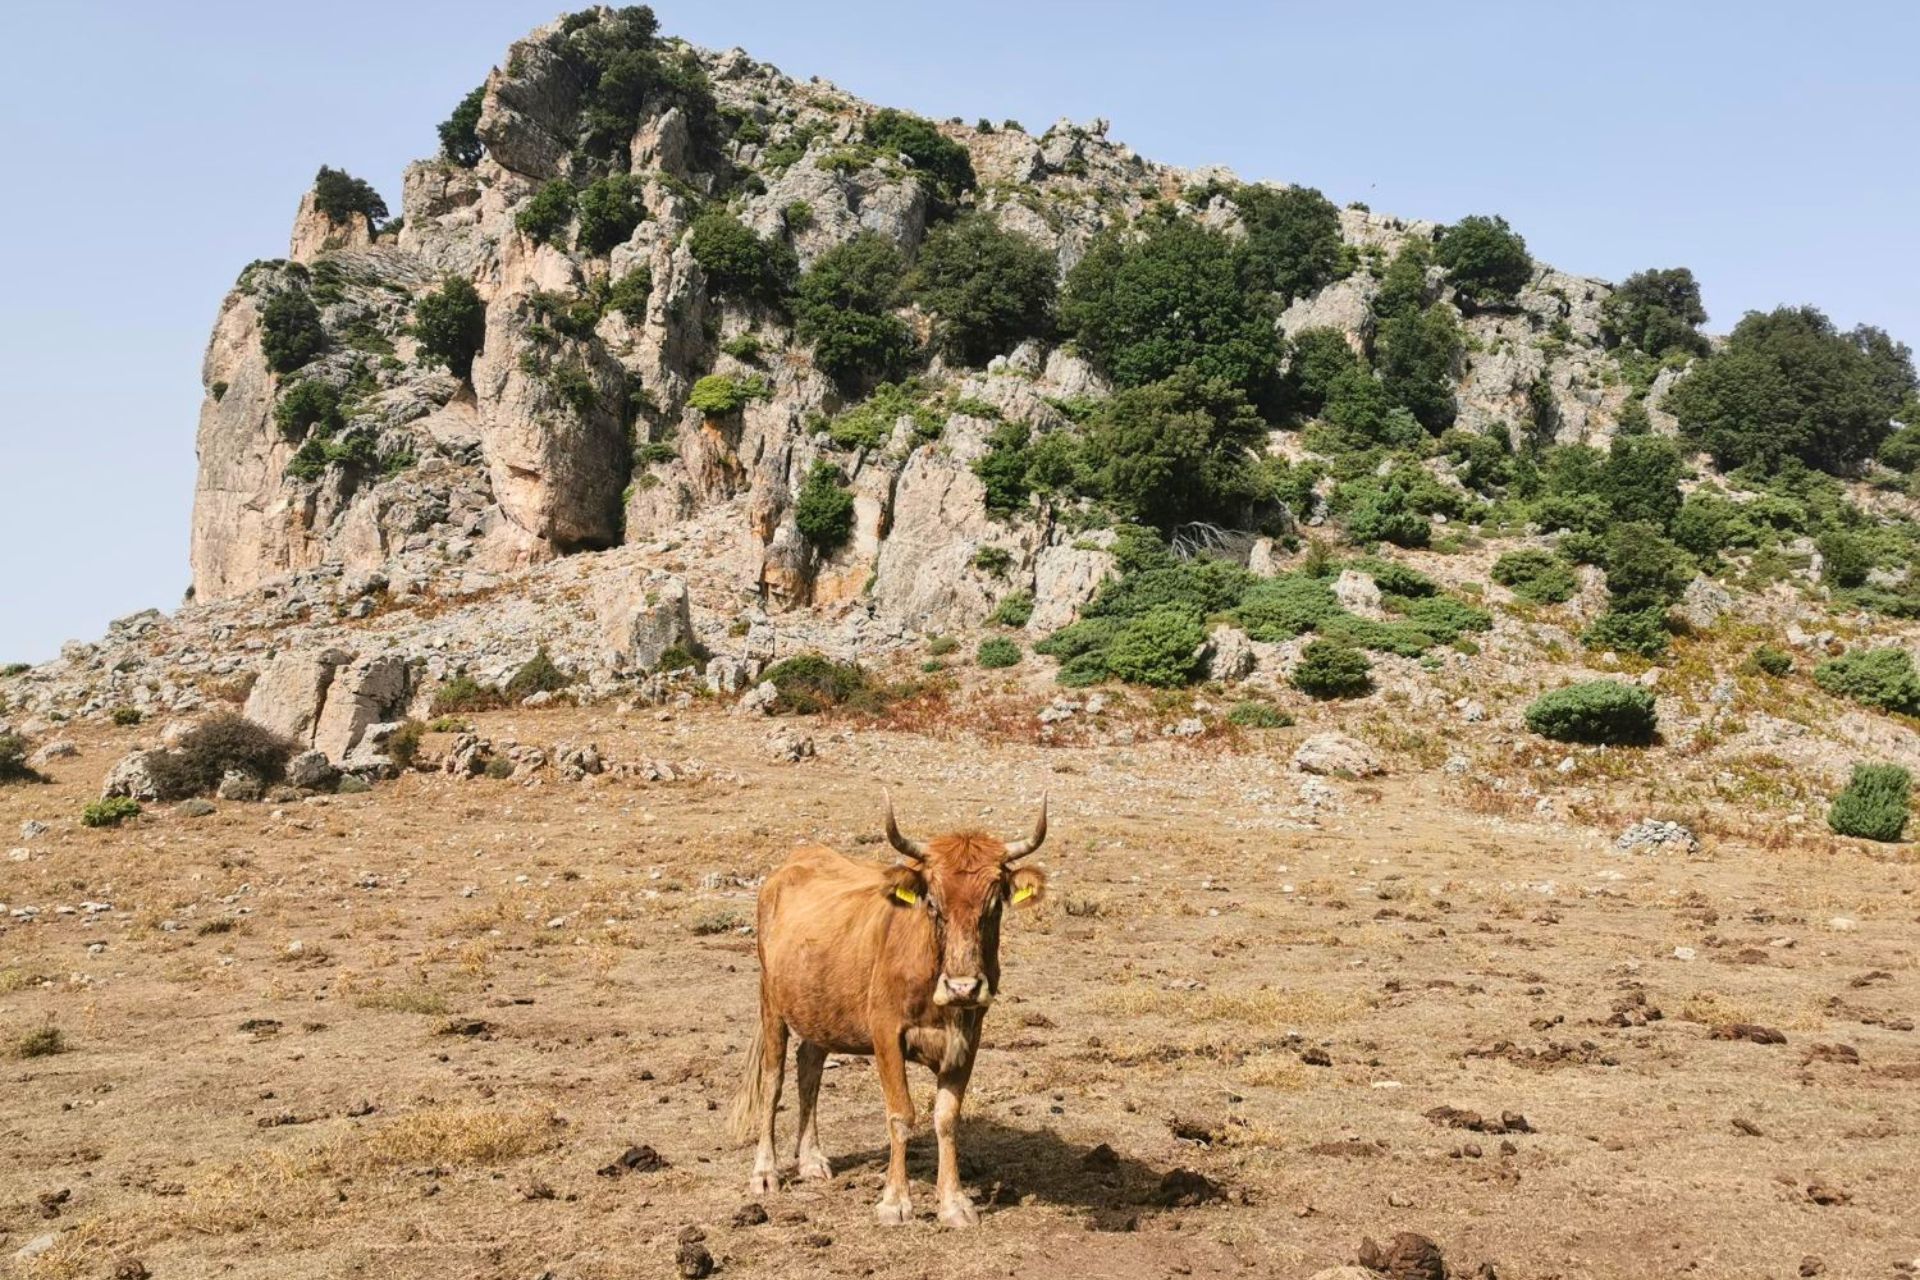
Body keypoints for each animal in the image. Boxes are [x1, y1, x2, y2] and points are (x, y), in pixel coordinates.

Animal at [727, 793, 1050, 1228]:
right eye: (933, 902)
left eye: (994, 903)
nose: (963, 987)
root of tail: (791, 865)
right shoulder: (886, 1033)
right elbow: (900, 1115)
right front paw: (895, 1202)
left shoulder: (969, 1036)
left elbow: (946, 1117)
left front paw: (954, 1203)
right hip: (772, 1004)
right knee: (773, 1079)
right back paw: (765, 1172)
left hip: (820, 1009)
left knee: (809, 1068)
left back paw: (811, 1160)